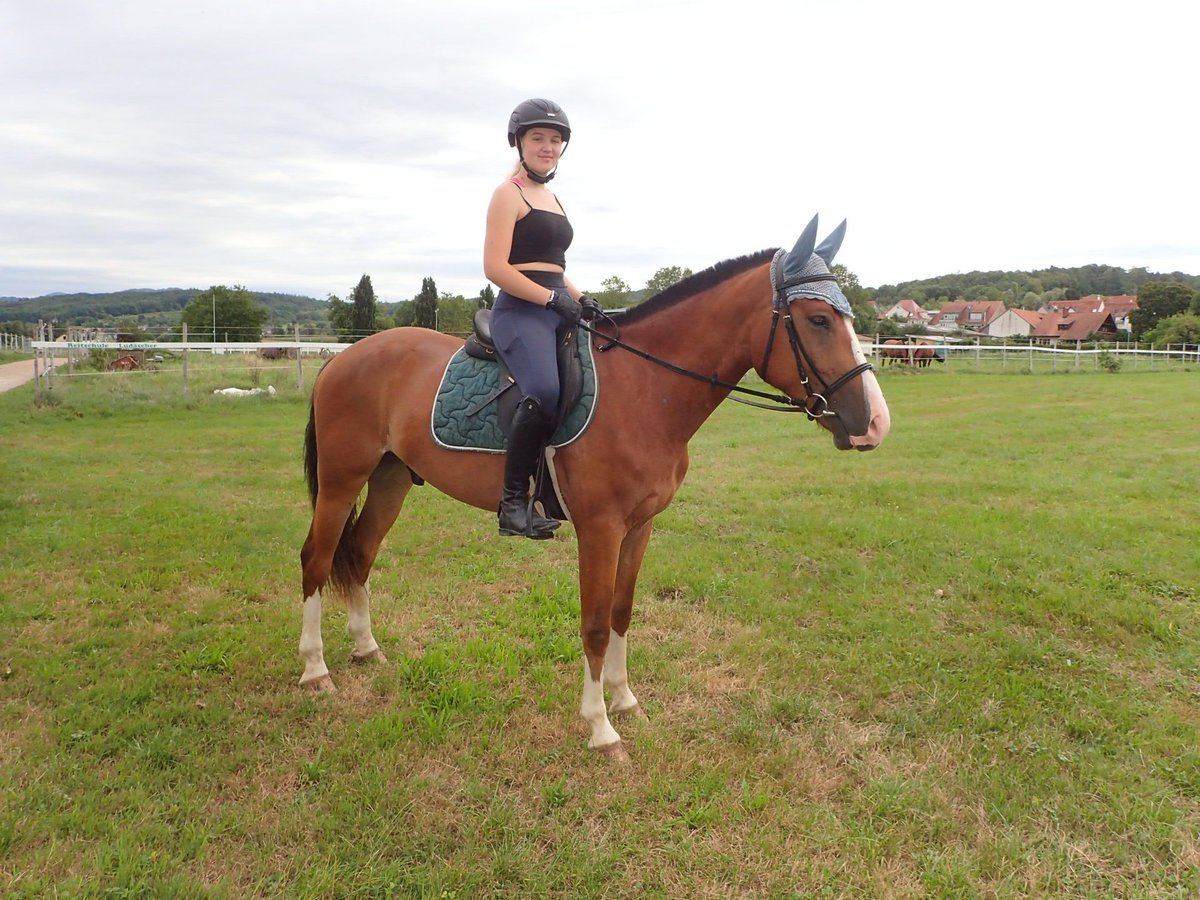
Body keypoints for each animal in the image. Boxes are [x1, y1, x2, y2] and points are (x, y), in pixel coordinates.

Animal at [295, 218, 888, 763]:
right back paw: (316, 671)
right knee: (317, 559)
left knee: (360, 554)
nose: (874, 424)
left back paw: (367, 650)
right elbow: (597, 624)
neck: (645, 389)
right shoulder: (600, 530)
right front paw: (602, 729)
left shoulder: (640, 526)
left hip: (391, 478)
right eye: (818, 319)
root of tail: (342, 358)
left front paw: (626, 703)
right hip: (342, 481)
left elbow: (623, 611)